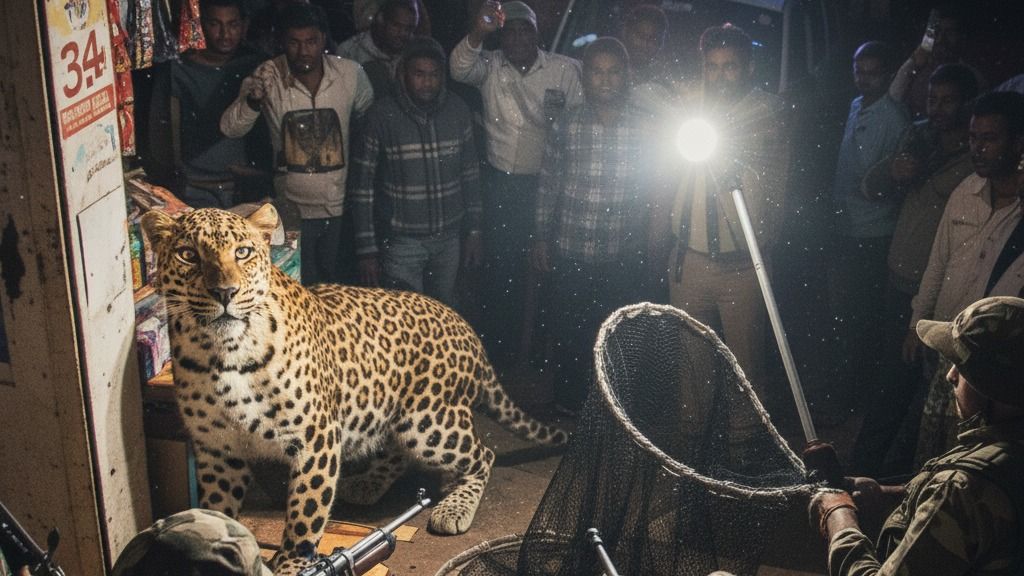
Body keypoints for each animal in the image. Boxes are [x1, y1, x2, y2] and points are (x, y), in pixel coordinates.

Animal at [140, 204, 568, 574]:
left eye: (242, 252)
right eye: (187, 255)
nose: (225, 292)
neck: (221, 353)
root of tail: (465, 326)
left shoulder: (315, 437)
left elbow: (305, 513)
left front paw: (293, 564)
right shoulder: (217, 449)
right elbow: (217, 511)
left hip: (429, 422)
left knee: (482, 455)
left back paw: (453, 507)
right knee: (397, 451)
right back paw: (367, 484)